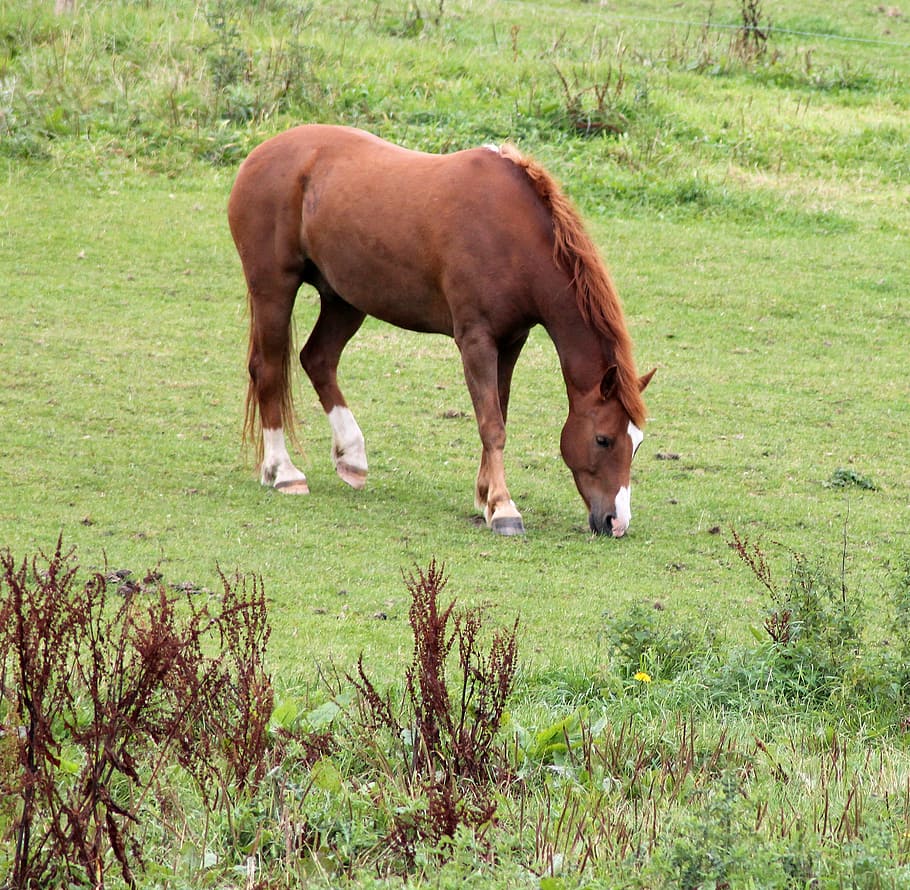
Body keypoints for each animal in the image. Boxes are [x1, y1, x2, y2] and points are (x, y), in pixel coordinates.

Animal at [228, 125, 654, 536]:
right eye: (603, 439)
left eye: (636, 443)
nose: (617, 523)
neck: (511, 235)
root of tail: (259, 155)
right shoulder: (476, 340)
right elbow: (492, 425)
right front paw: (503, 508)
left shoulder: (511, 341)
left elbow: (498, 411)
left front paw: (486, 496)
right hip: (274, 289)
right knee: (269, 371)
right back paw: (284, 472)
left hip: (344, 300)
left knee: (318, 360)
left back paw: (352, 456)